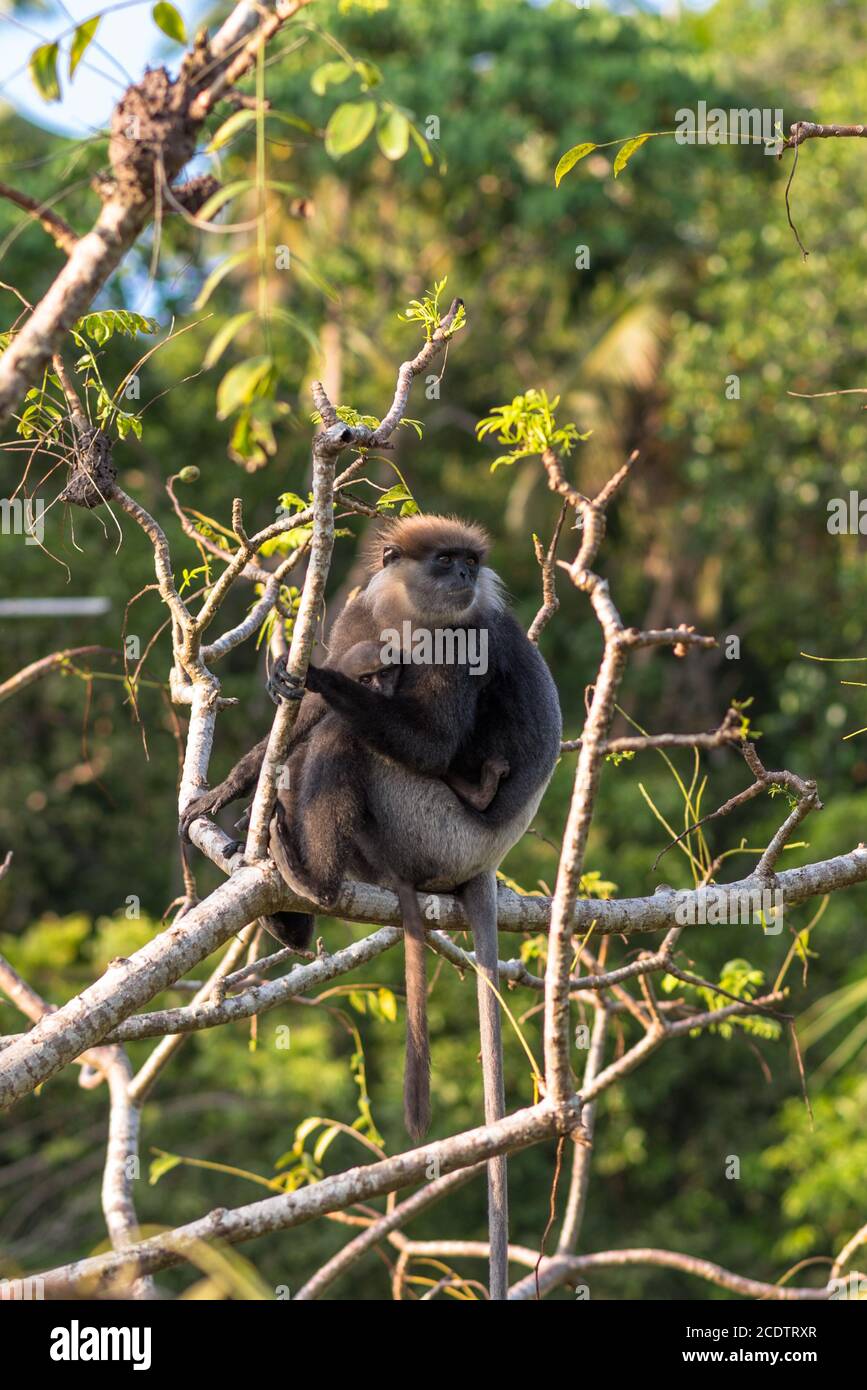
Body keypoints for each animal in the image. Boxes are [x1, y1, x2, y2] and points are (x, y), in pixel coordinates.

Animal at [183, 514, 561, 1301]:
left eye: (467, 562)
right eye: (445, 560)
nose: (464, 576)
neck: (409, 616)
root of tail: (484, 861)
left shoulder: (466, 633)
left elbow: (422, 737)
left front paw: (324, 676)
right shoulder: (360, 609)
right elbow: (299, 719)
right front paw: (227, 788)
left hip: (433, 827)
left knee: (349, 738)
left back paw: (313, 878)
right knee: (321, 742)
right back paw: (289, 907)